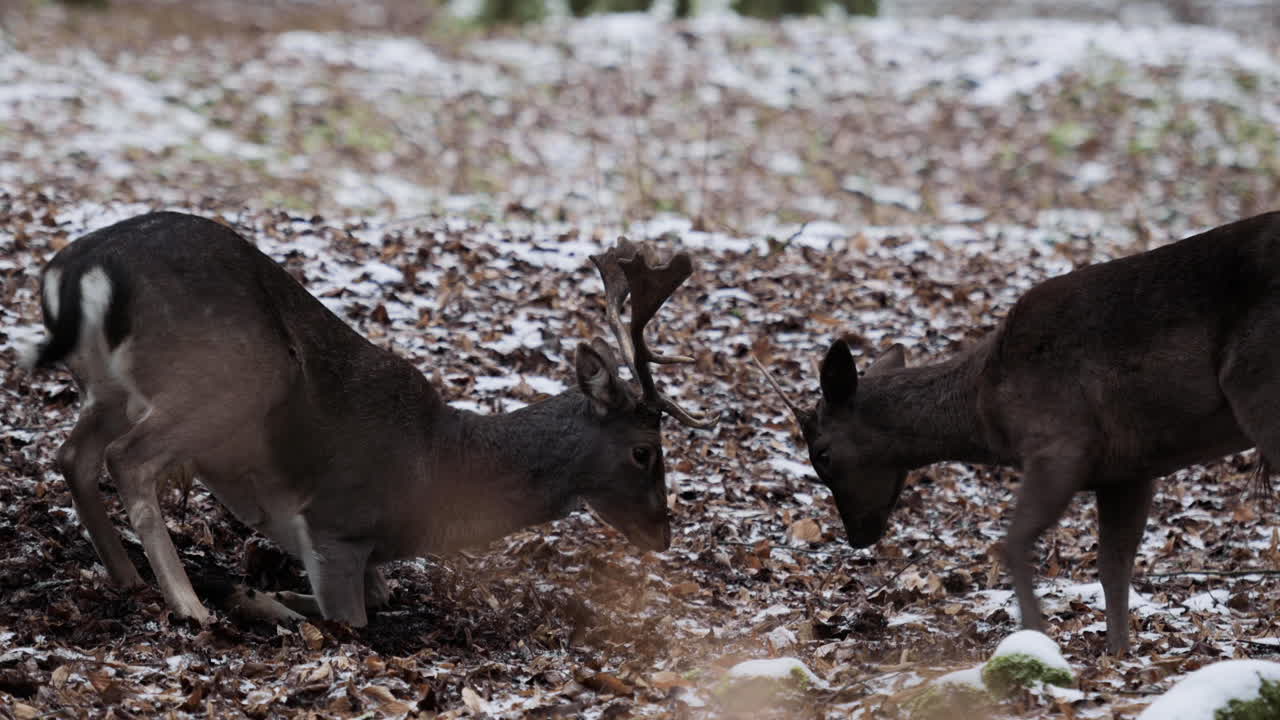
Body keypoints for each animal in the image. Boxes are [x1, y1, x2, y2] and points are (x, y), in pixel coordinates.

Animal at [19, 211, 717, 627]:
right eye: (645, 450)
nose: (663, 535)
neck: (439, 471)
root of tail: (78, 269)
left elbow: (381, 596)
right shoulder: (337, 524)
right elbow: (349, 618)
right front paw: (255, 596)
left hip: (108, 387)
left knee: (73, 455)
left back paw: (128, 576)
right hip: (228, 378)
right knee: (128, 459)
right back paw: (189, 603)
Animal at [754, 211, 1280, 655]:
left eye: (822, 455)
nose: (857, 536)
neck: (989, 409)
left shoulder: (1060, 441)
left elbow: (1012, 542)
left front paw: (1034, 638)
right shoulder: (1129, 468)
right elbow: (1113, 566)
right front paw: (1117, 654)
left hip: (1258, 383)